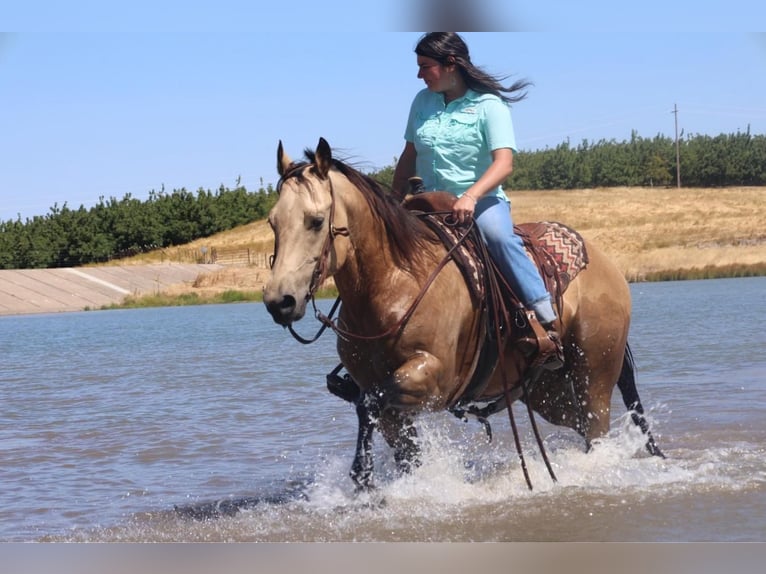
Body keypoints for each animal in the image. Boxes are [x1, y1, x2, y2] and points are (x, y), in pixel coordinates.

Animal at [264, 138, 664, 490]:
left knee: (597, 430)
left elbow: (369, 403)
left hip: (594, 376)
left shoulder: (432, 378)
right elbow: (389, 430)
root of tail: (607, 266)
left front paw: (362, 474)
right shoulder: (385, 392)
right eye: (272, 222)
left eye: (316, 221)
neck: (395, 281)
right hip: (549, 393)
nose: (279, 301)